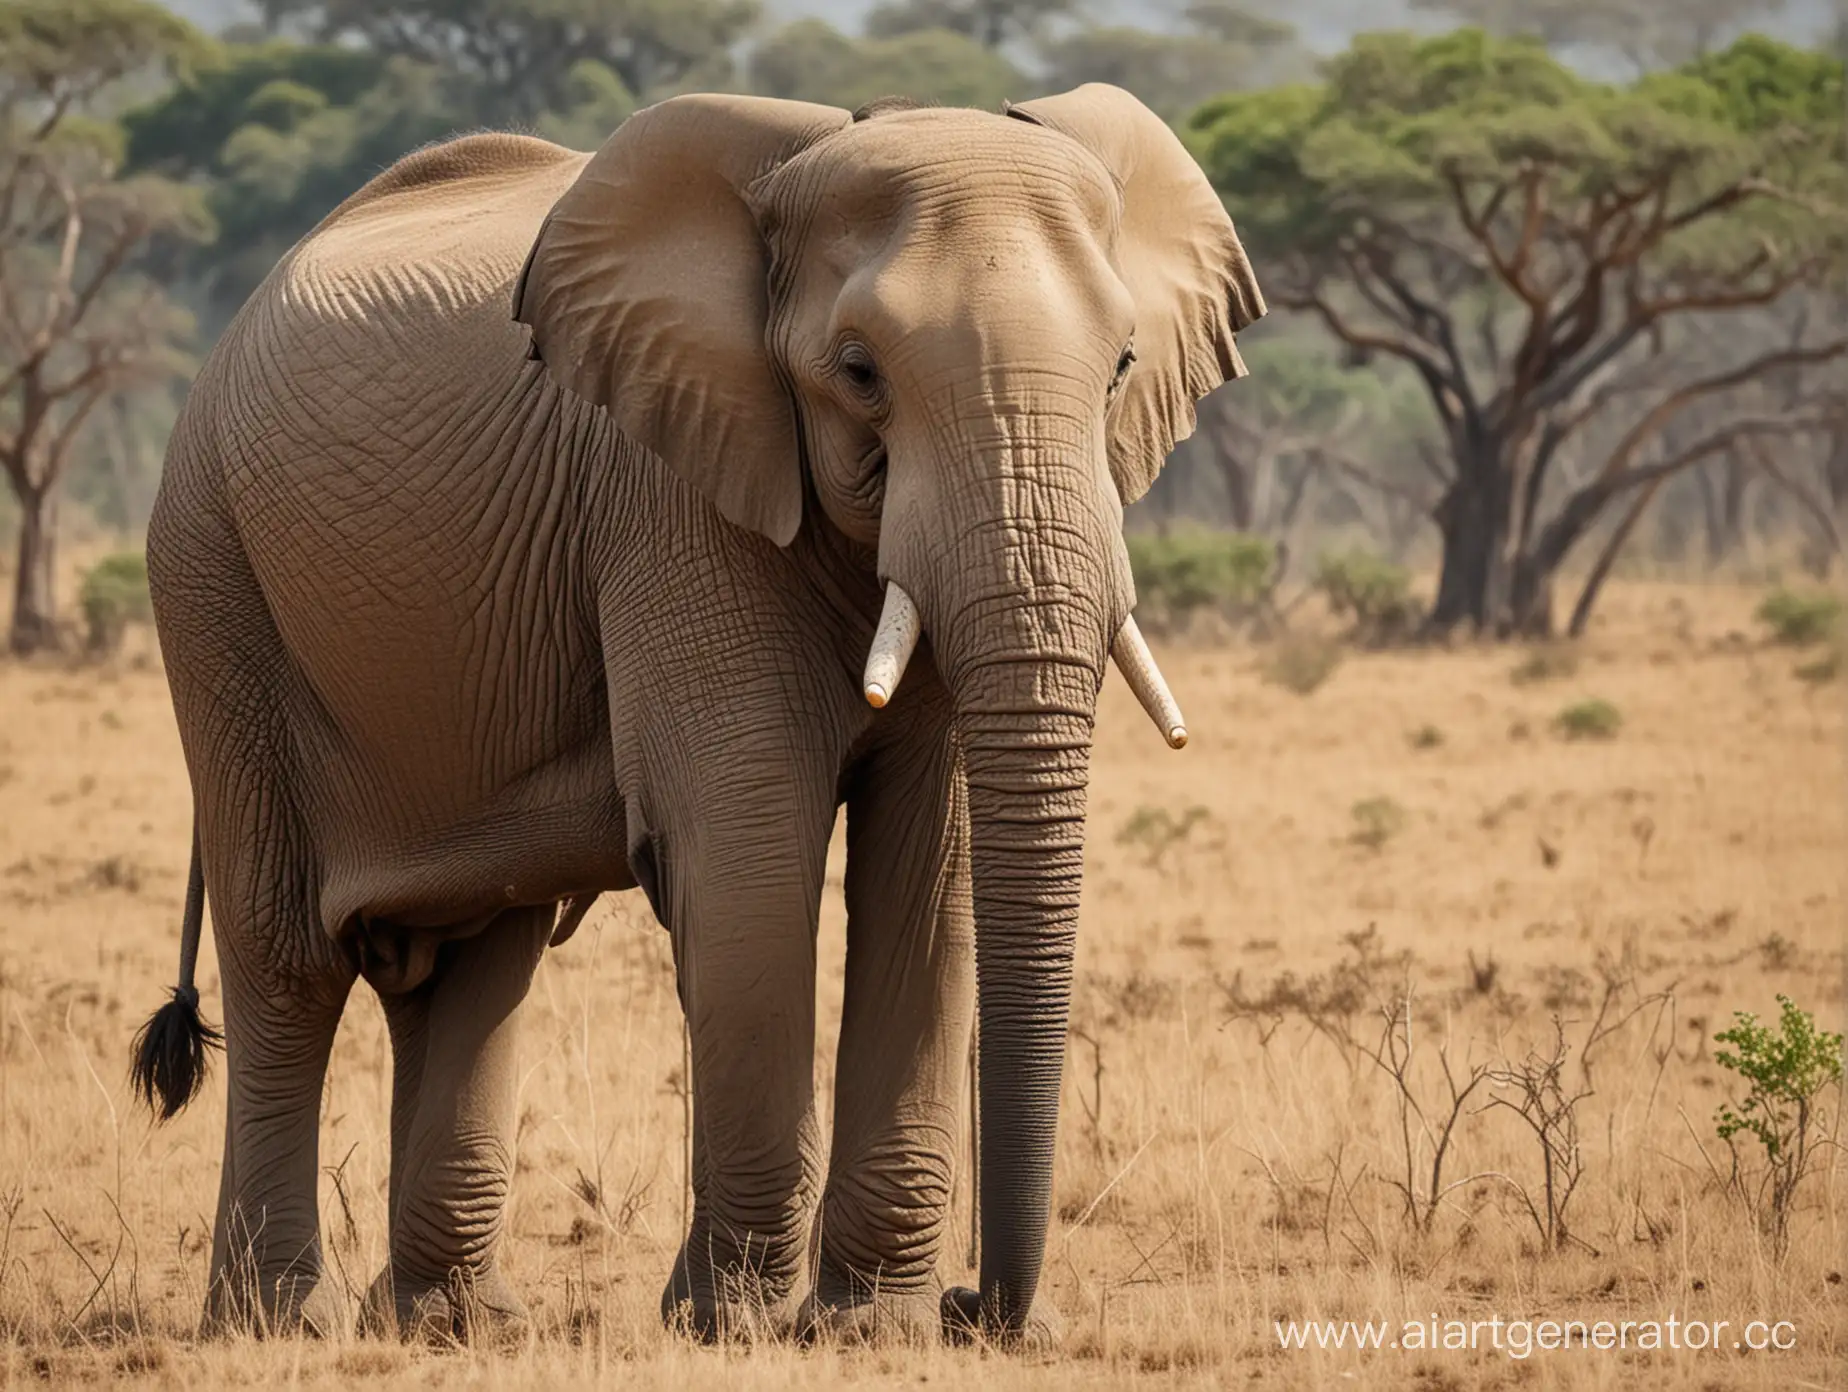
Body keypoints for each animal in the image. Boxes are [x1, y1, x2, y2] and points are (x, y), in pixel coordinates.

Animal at [126, 84, 1256, 1345]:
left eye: (1121, 368)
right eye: (858, 371)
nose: (990, 1311)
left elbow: (932, 864)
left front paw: (869, 1328)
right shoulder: (669, 495)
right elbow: (750, 851)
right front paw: (736, 1325)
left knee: (472, 956)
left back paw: (454, 1325)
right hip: (211, 583)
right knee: (290, 958)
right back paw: (280, 1323)